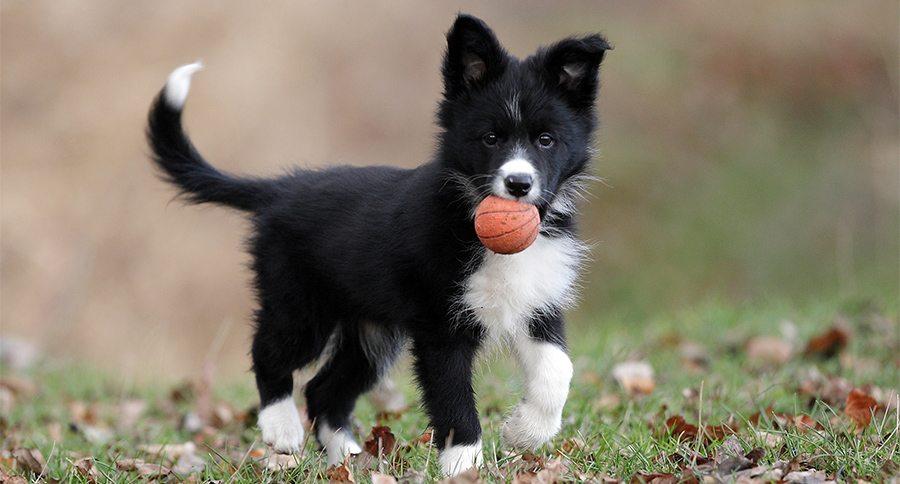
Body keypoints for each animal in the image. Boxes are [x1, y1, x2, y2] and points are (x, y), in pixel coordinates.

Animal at [148, 14, 612, 476]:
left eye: (546, 140)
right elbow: (453, 398)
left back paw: (350, 459)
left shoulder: (538, 303)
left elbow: (559, 369)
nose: (518, 184)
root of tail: (281, 190)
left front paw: (525, 432)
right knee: (271, 352)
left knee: (324, 389)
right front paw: (464, 465)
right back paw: (282, 429)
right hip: (301, 303)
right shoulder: (441, 328)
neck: (470, 218)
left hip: (370, 330)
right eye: (491, 138)